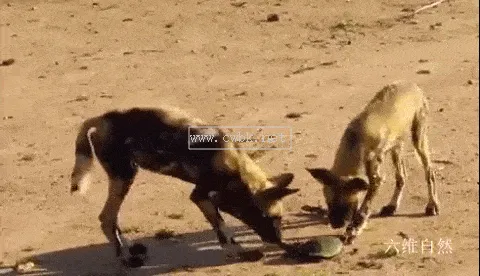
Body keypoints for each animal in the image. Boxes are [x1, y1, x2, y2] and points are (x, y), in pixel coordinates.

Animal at [69, 106, 298, 268]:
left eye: (280, 218)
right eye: (269, 217)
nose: (278, 241)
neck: (238, 170)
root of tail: (100, 119)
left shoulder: (211, 197)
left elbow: (224, 227)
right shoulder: (200, 196)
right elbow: (222, 229)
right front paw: (240, 252)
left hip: (124, 178)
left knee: (111, 218)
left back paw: (132, 250)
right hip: (124, 177)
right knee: (107, 218)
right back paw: (126, 260)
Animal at [308, 81, 438, 244]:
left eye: (348, 204)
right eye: (328, 202)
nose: (336, 224)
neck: (355, 142)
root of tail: (412, 85)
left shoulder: (375, 179)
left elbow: (363, 210)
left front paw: (354, 230)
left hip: (418, 140)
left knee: (429, 172)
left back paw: (432, 205)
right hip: (396, 147)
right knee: (401, 177)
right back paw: (392, 206)